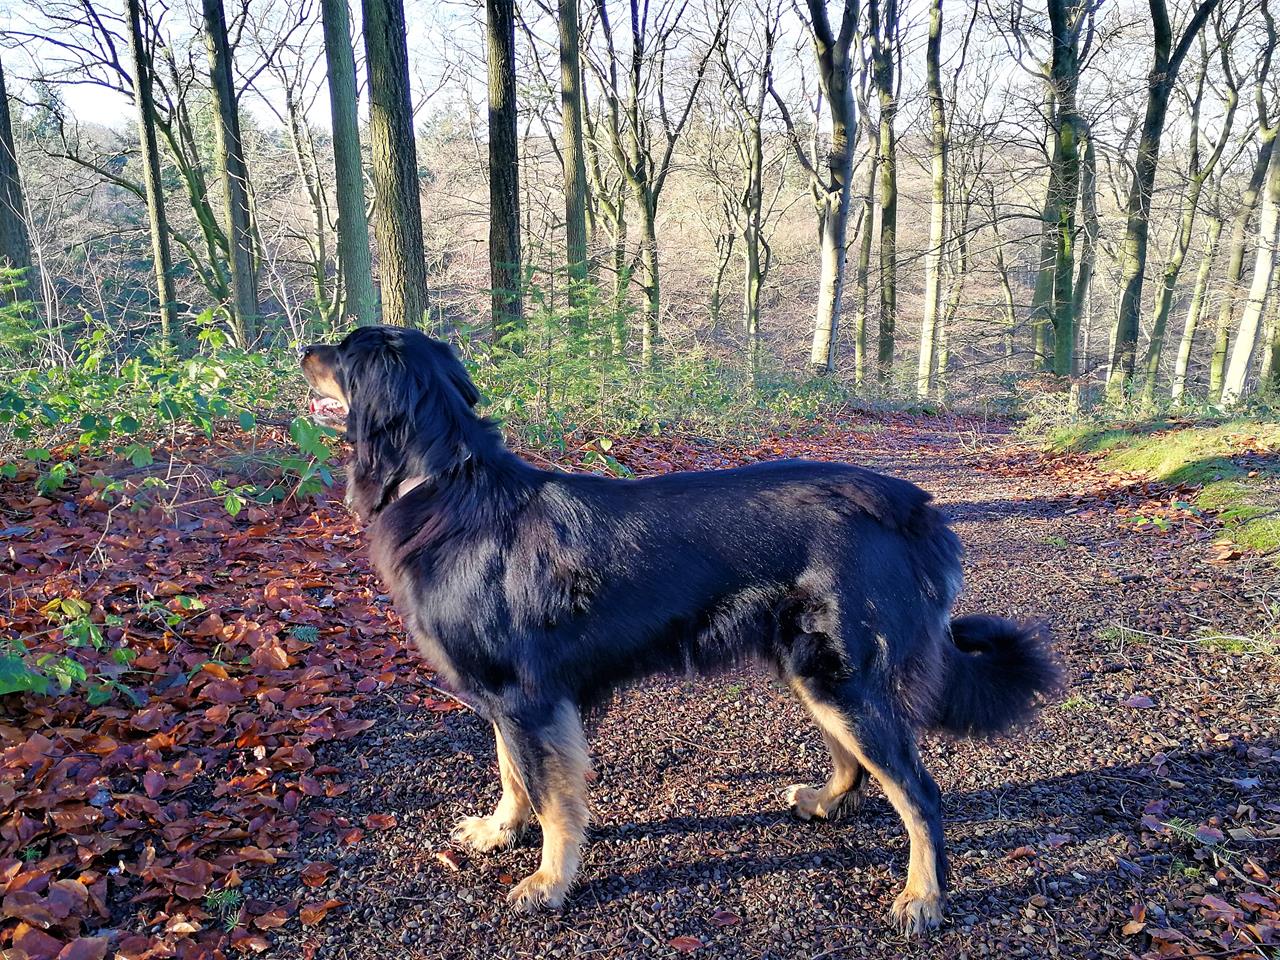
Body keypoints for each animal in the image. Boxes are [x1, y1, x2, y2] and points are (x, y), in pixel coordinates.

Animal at [299, 325, 1060, 933]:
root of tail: (917, 510)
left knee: (919, 794)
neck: (444, 482)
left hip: (843, 677)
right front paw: (498, 831)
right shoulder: (507, 701)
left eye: (343, 351)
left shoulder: (530, 699)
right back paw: (825, 802)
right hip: (814, 672)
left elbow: (553, 799)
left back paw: (923, 896)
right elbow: (513, 774)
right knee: (857, 763)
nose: (302, 348)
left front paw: (548, 880)